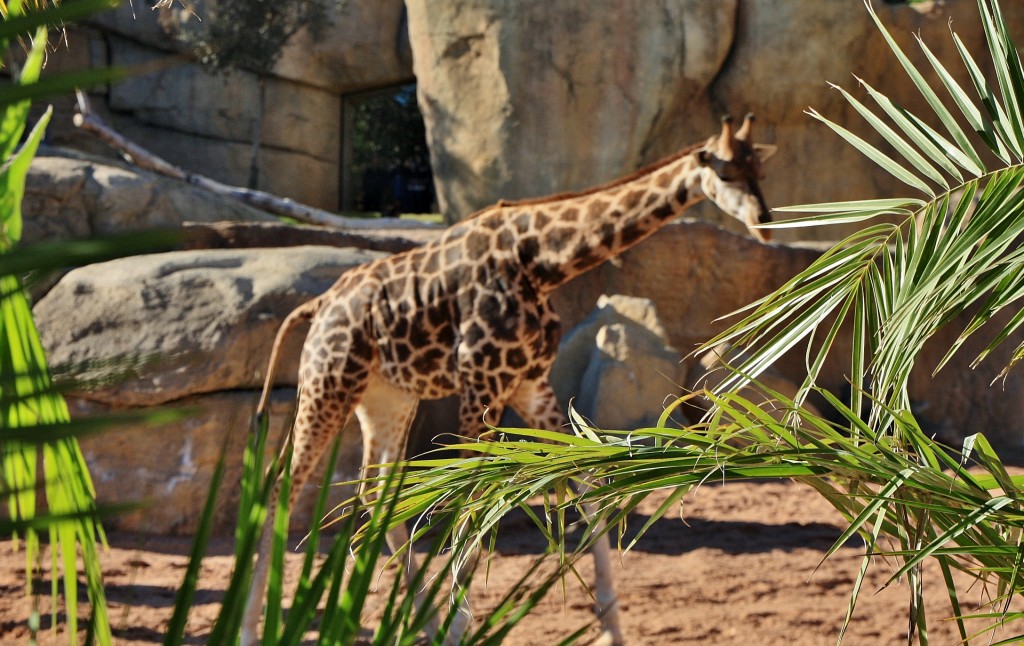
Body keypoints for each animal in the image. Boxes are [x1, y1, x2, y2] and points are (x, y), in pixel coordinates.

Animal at [239, 113, 774, 642]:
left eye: (759, 170)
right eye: (726, 173)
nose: (765, 222)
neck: (540, 259)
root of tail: (319, 305)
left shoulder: (530, 383)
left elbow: (585, 488)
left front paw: (610, 627)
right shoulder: (482, 379)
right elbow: (470, 500)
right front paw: (458, 628)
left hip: (386, 396)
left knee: (375, 490)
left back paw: (416, 618)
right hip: (329, 381)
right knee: (281, 483)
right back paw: (251, 628)